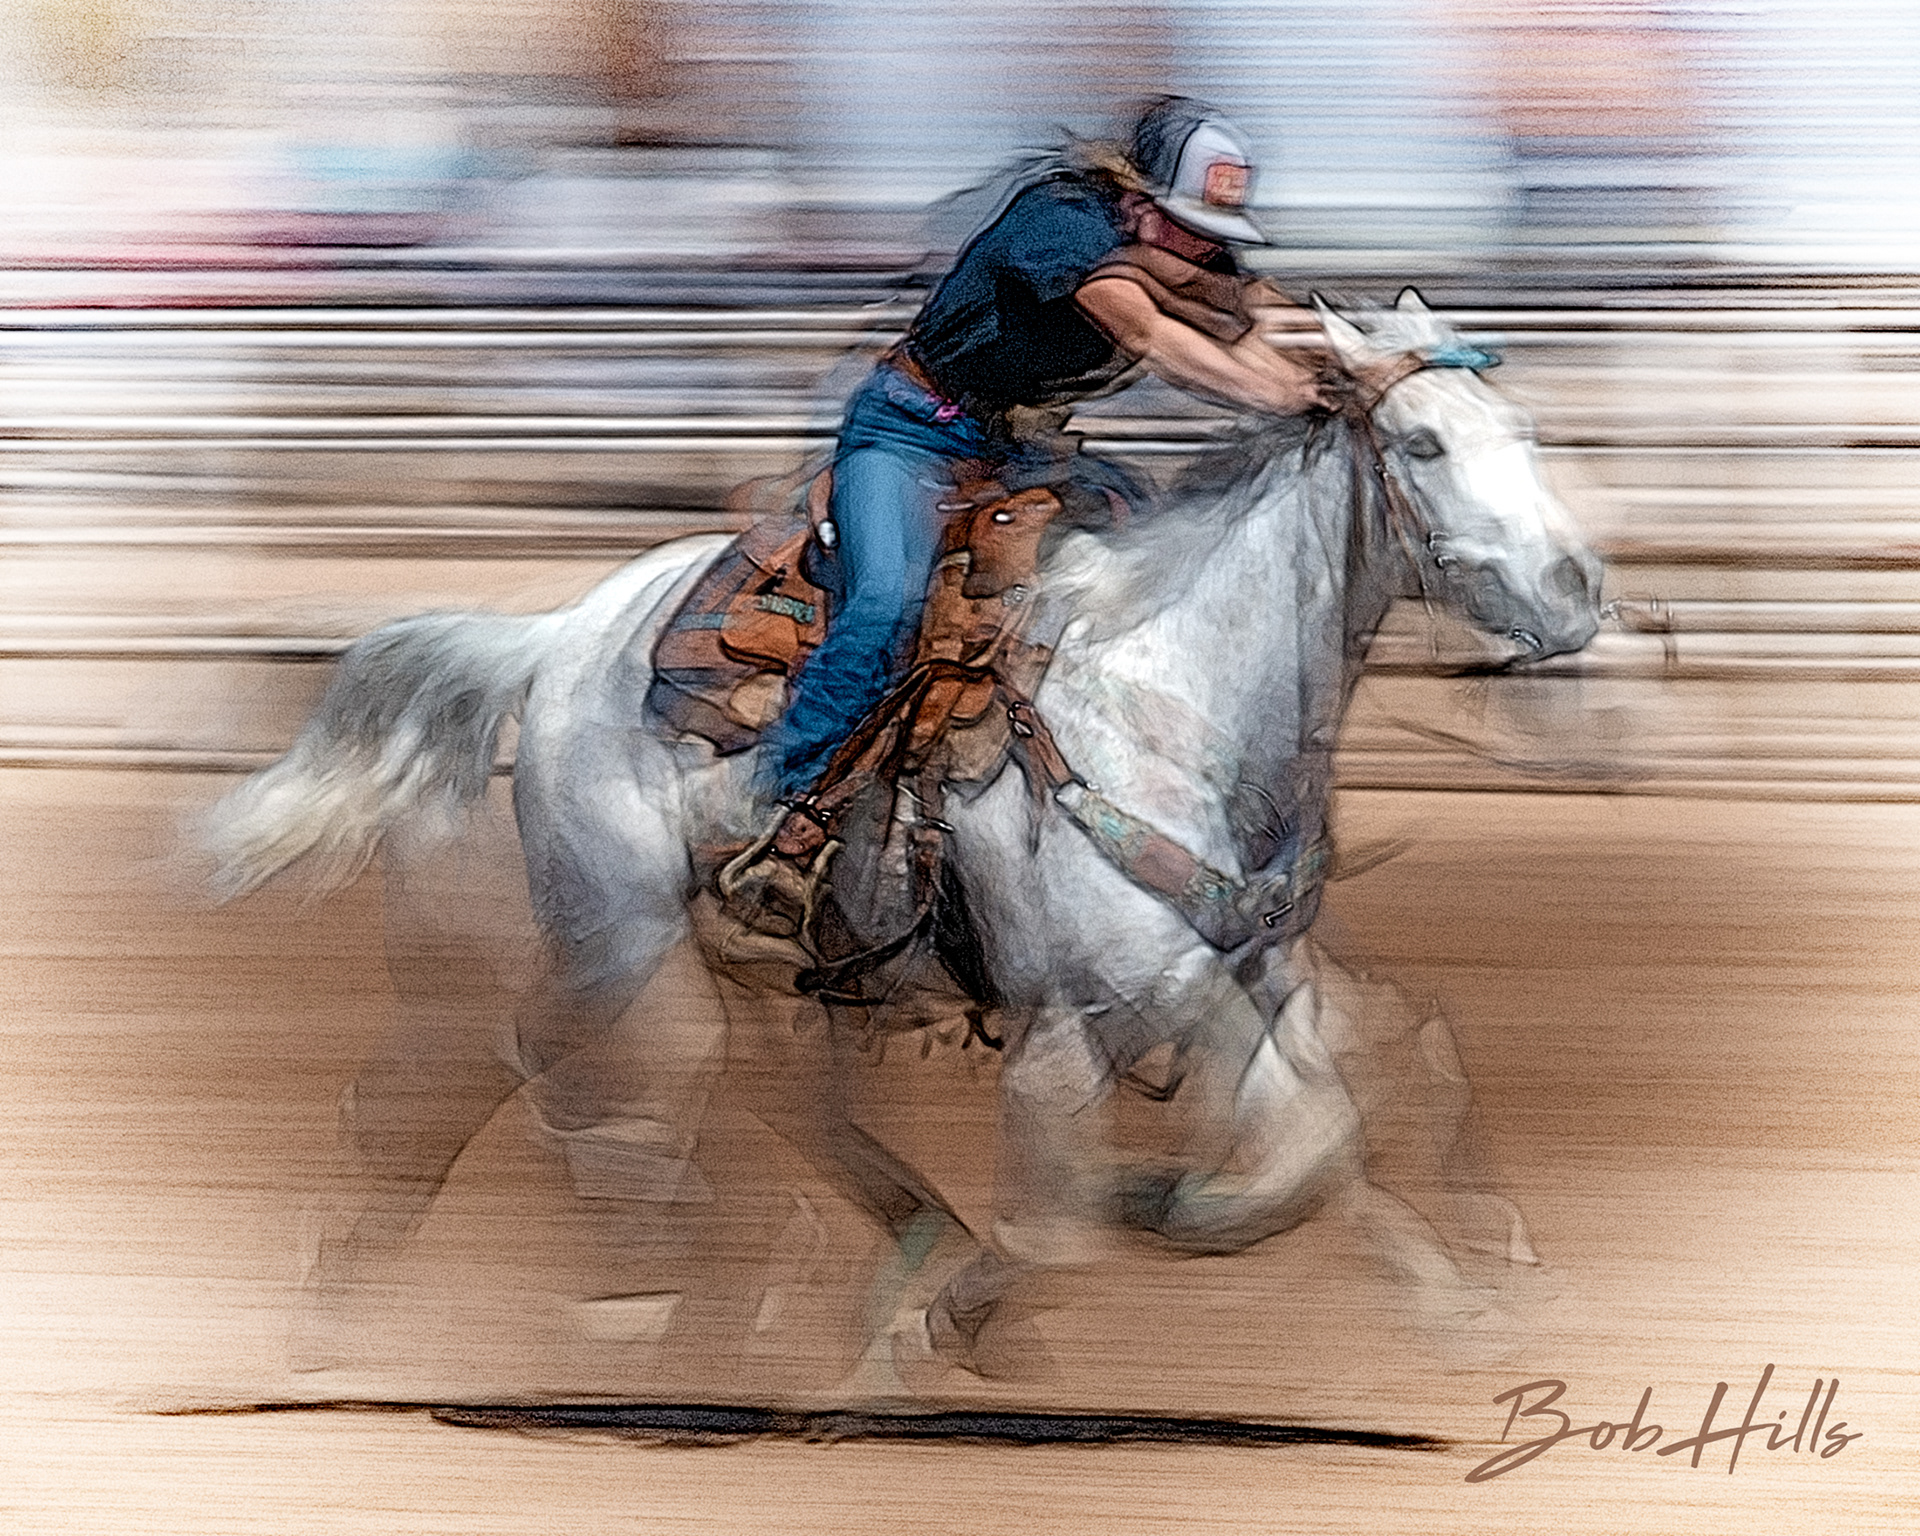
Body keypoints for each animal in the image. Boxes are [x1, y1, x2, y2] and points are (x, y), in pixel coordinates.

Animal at [201, 290, 1602, 1386]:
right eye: (1421, 441)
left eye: (1525, 430)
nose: (1575, 591)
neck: (1171, 699)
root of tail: (559, 638)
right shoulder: (1091, 1013)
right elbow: (1115, 1202)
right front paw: (1044, 1273)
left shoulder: (1257, 968)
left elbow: (1356, 1114)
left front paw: (1463, 1296)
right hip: (616, 939)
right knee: (554, 1085)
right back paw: (644, 1306)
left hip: (774, 970)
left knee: (594, 1092)